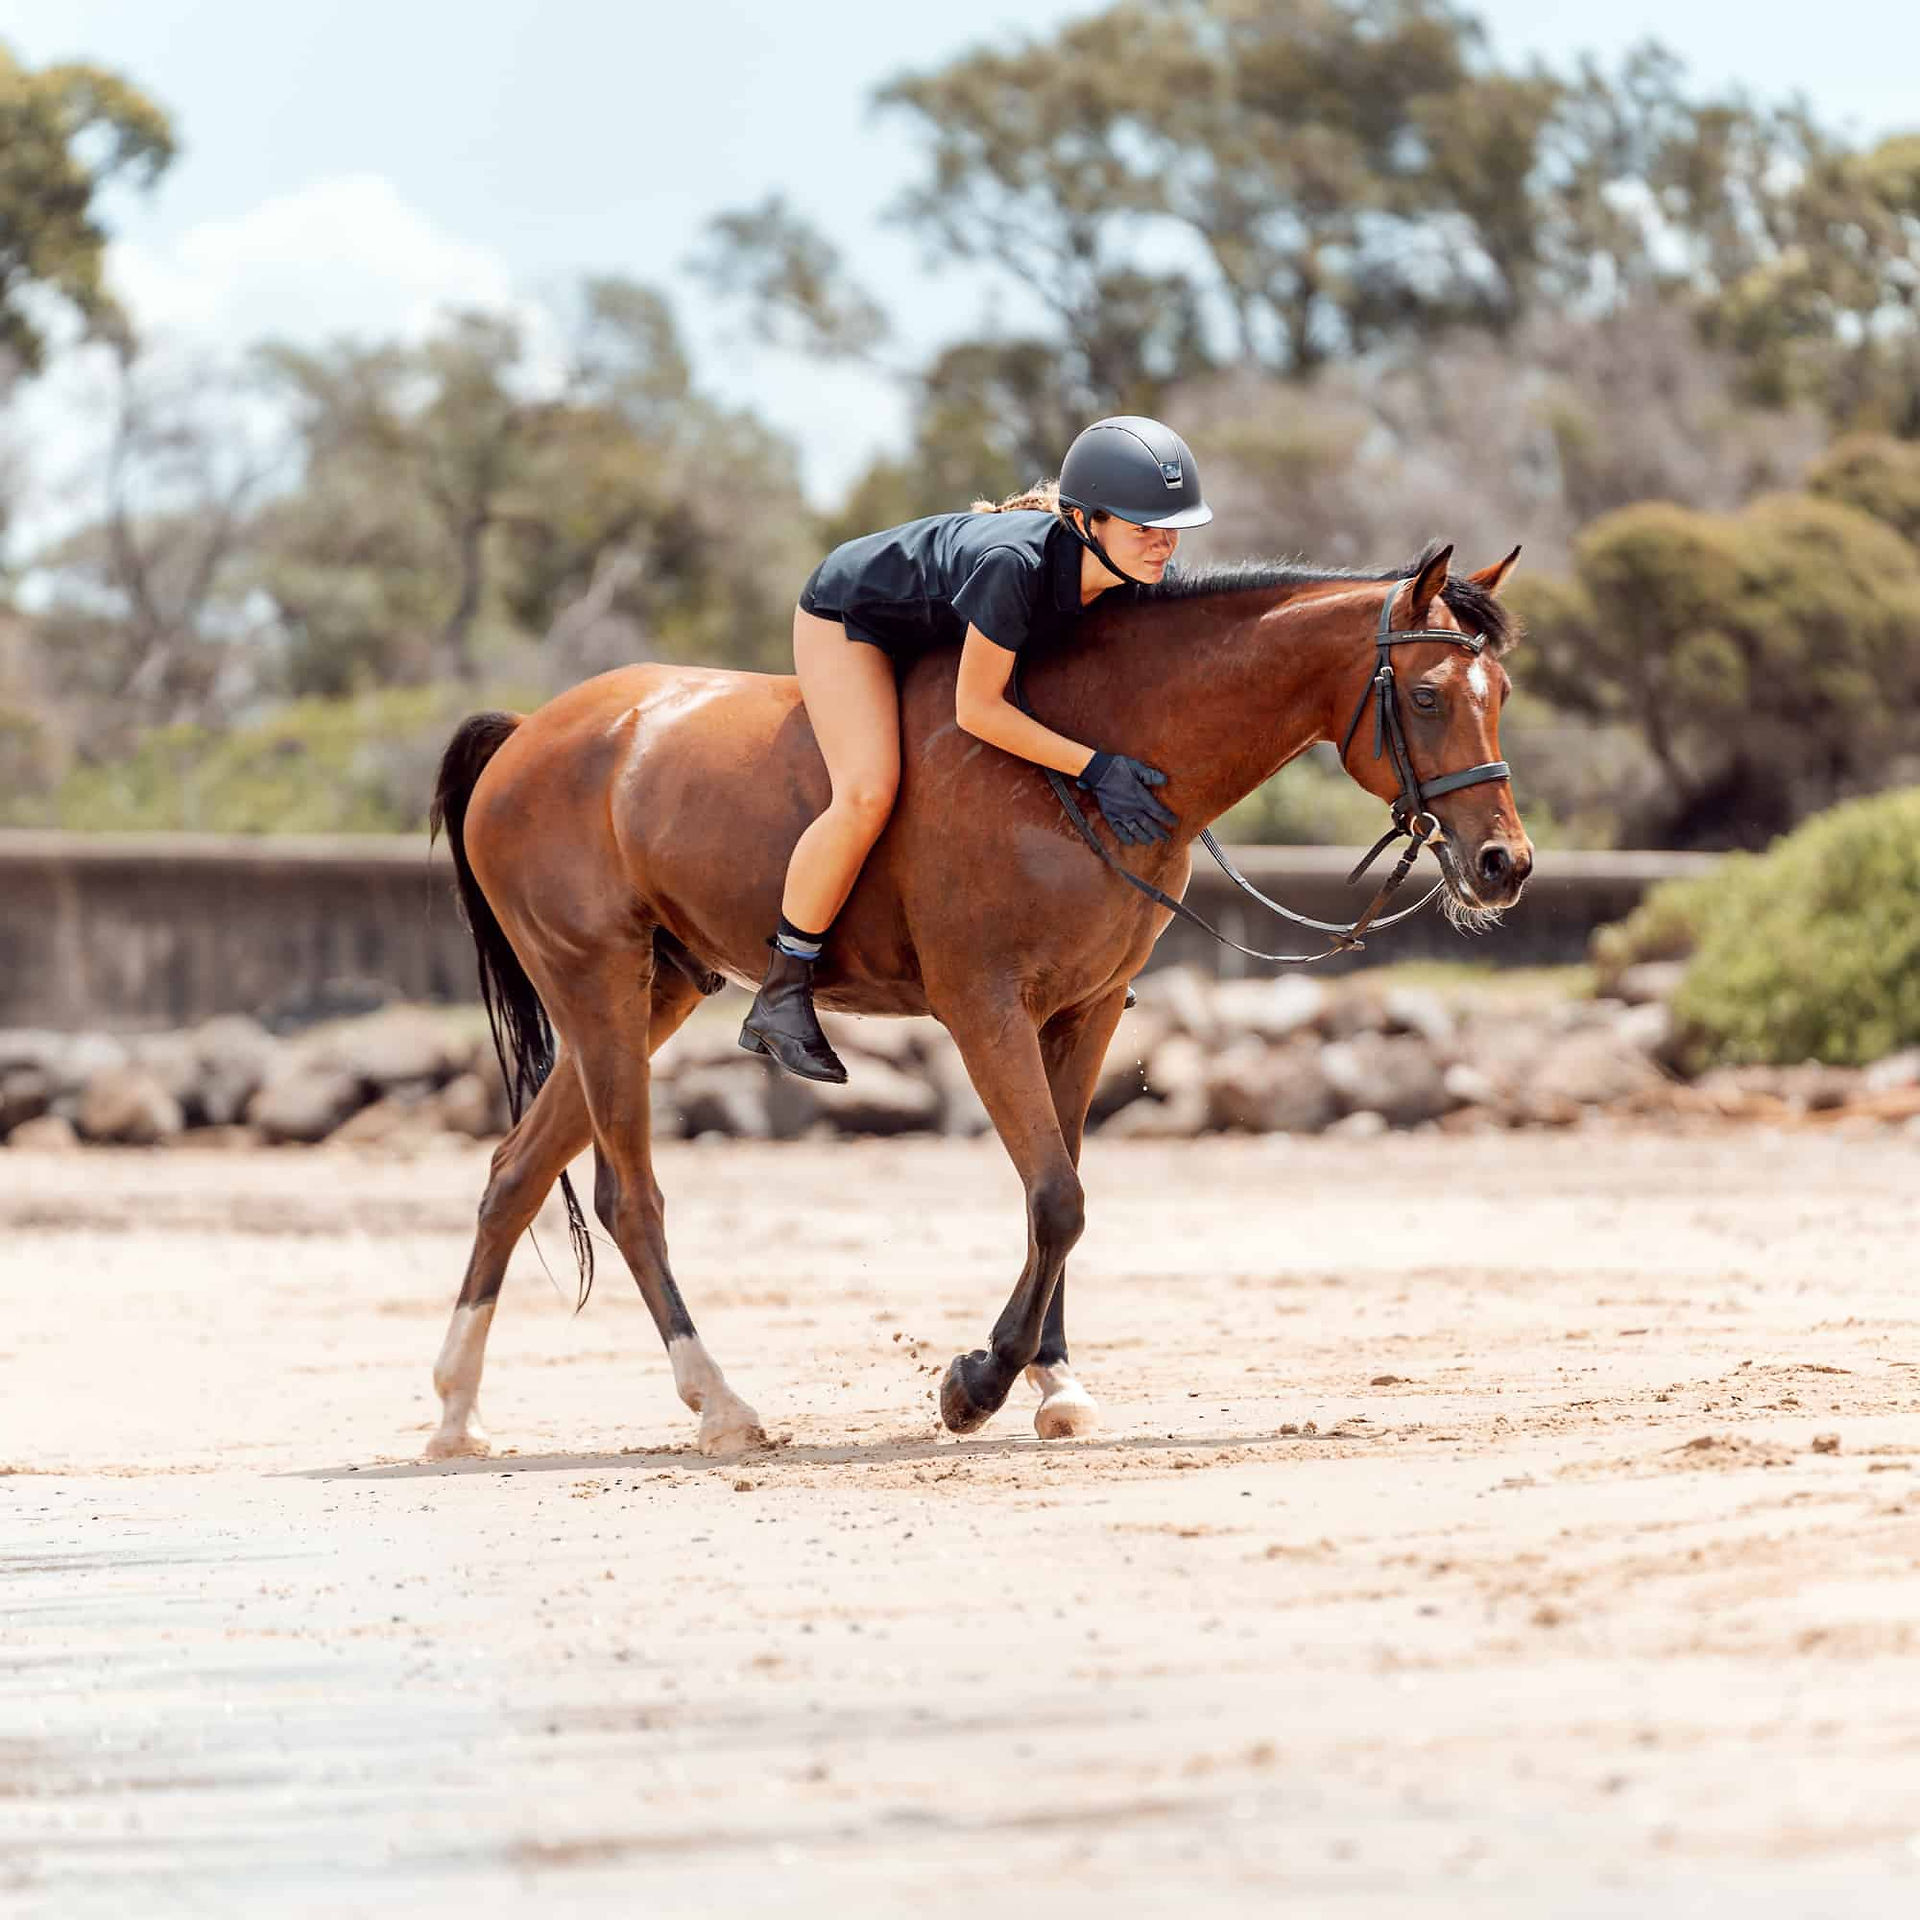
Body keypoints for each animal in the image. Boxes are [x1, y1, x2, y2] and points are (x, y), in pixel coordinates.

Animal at [422, 540, 1531, 1460]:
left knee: (514, 1173)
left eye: (1503, 690)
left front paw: (1057, 1386)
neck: (1091, 753)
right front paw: (977, 1385)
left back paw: (456, 1416)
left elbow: (1060, 1196)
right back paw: (722, 1407)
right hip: (597, 983)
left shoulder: (1088, 1008)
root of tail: (528, 735)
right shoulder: (983, 1005)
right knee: (628, 1198)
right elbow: (1057, 1197)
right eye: (1427, 696)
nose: (1504, 866)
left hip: (656, 991)